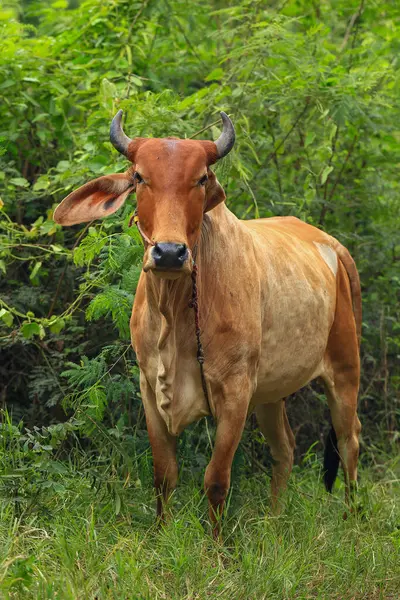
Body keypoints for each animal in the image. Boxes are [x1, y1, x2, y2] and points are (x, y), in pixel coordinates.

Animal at [54, 110, 362, 536]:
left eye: (201, 178)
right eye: (139, 177)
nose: (169, 252)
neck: (174, 313)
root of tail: (331, 244)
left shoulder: (235, 392)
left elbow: (216, 480)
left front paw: (216, 546)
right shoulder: (149, 387)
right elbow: (163, 475)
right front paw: (161, 535)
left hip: (345, 371)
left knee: (350, 443)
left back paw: (352, 524)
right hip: (271, 392)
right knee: (285, 448)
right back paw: (274, 520)